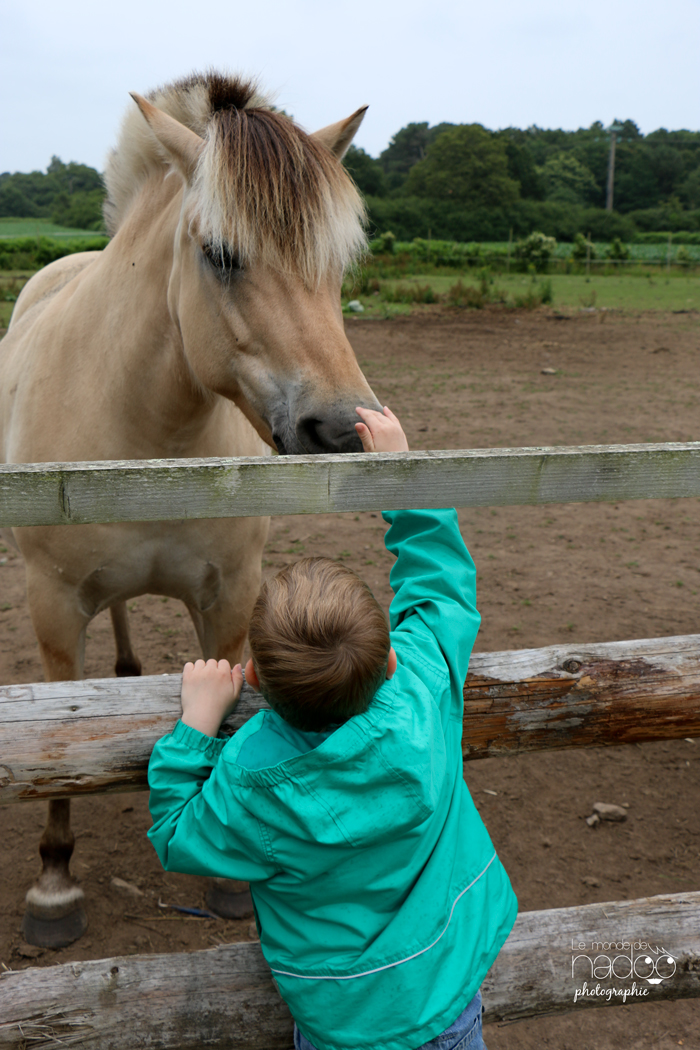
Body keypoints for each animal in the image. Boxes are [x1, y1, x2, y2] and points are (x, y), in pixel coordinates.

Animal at [1, 69, 384, 949]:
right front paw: (54, 884)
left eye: (336, 262)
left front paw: (228, 878)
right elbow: (57, 735)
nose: (340, 428)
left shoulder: (231, 597)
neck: (153, 436)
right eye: (219, 255)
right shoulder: (53, 607)